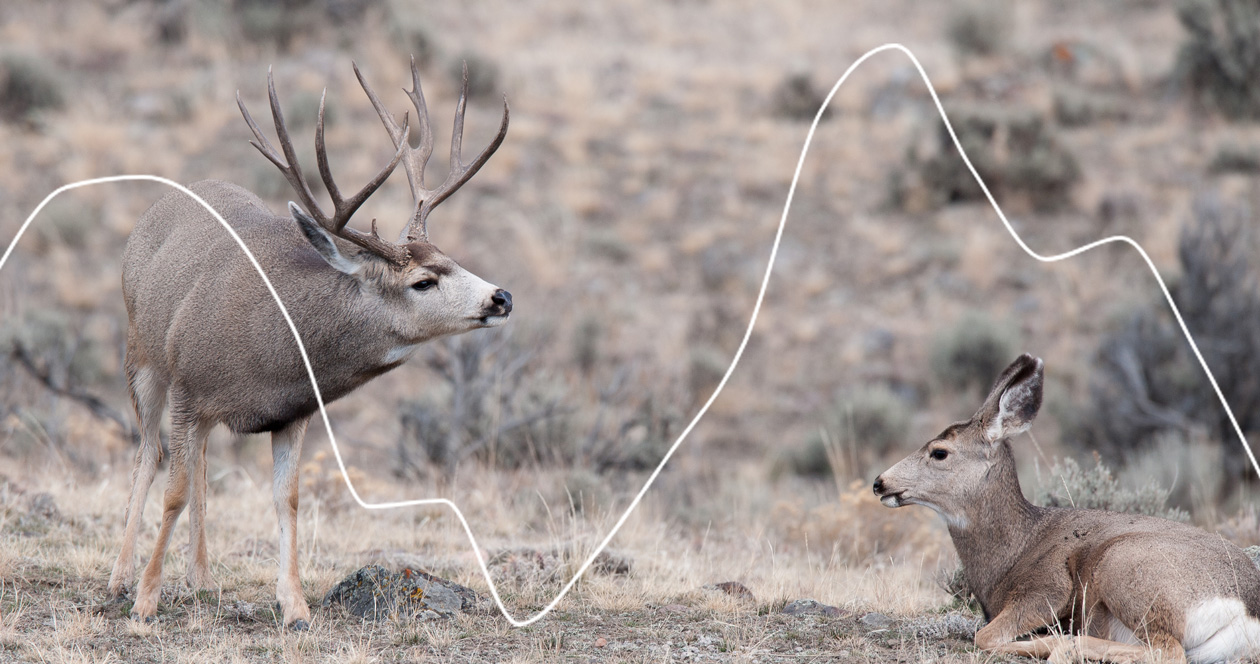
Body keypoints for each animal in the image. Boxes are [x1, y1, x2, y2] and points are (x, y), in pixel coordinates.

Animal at [105, 58, 511, 629]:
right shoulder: (187, 384)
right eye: (423, 282)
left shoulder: (292, 412)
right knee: (150, 451)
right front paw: (145, 600)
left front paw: (294, 607)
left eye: (450, 258)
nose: (502, 297)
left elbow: (288, 499)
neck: (272, 346)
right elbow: (174, 491)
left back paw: (202, 578)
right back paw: (121, 577)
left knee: (199, 458)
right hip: (142, 354)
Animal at [873, 354, 1260, 663]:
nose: (880, 482)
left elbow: (984, 635)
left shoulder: (1048, 588)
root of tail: (1248, 610)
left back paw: (1061, 645)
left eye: (939, 452)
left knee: (1166, 650)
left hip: (1123, 568)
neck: (1015, 548)